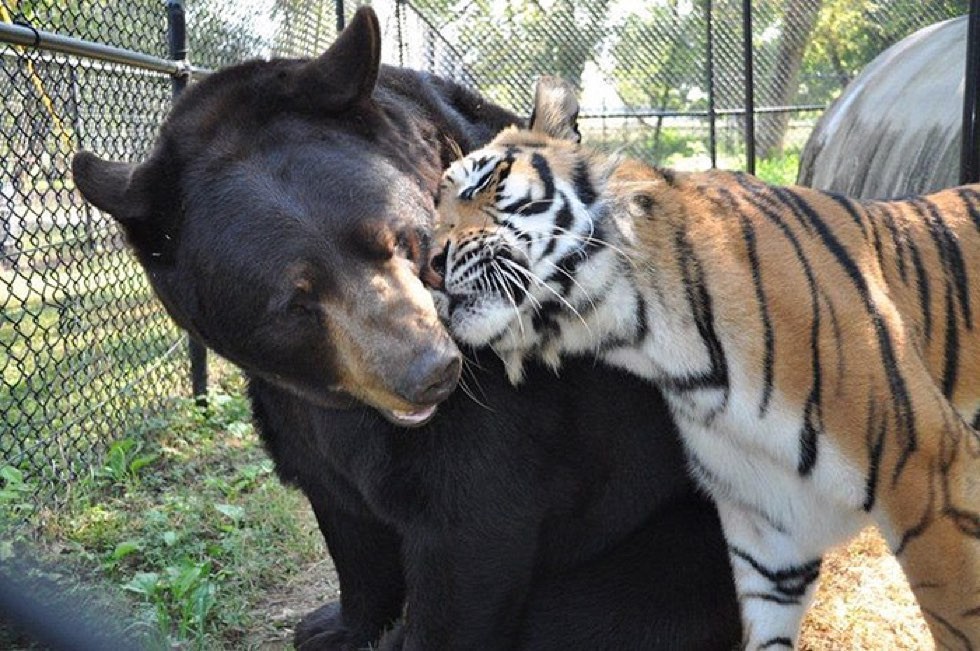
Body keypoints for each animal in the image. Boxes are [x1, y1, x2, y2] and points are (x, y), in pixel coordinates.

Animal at [428, 77, 980, 651]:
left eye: (487, 182)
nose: (429, 265)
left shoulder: (931, 473)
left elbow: (960, 622)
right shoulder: (769, 536)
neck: (646, 338)